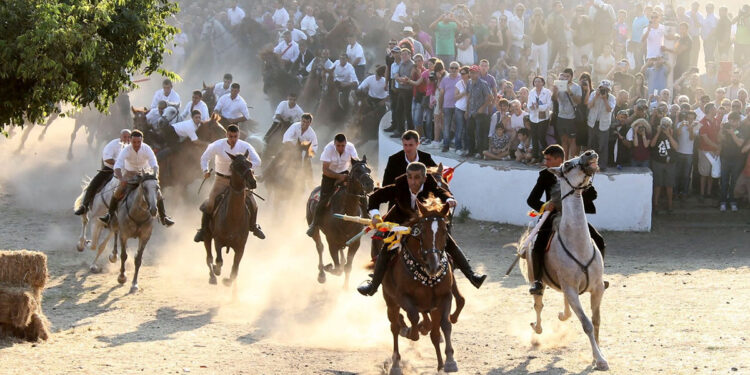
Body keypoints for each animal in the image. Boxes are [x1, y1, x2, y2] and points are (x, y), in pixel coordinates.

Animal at [203, 151, 258, 286]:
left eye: (250, 163)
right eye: (237, 166)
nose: (253, 182)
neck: (233, 218)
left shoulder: (241, 246)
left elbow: (235, 267)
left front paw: (228, 281)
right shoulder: (218, 240)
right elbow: (219, 260)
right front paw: (217, 270)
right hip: (207, 235)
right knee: (209, 257)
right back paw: (212, 277)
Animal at [306, 157, 376, 290]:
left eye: (369, 170)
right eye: (357, 170)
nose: (370, 184)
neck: (347, 214)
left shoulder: (355, 243)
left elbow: (348, 267)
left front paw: (345, 288)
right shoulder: (331, 241)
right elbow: (337, 269)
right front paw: (328, 268)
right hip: (314, 226)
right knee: (319, 246)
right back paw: (321, 274)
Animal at [384, 198, 462, 374]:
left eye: (444, 231)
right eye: (421, 232)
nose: (434, 266)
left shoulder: (445, 297)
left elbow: (446, 324)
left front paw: (450, 360)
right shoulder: (402, 297)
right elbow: (413, 317)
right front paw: (411, 332)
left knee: (433, 331)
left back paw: (439, 362)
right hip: (391, 302)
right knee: (394, 327)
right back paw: (396, 364)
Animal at [520, 151, 612, 372]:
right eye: (568, 165)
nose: (590, 153)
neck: (578, 244)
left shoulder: (597, 288)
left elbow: (596, 321)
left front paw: (598, 357)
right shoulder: (571, 288)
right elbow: (586, 324)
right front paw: (599, 359)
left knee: (564, 305)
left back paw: (562, 314)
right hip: (537, 280)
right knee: (538, 305)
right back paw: (537, 329)